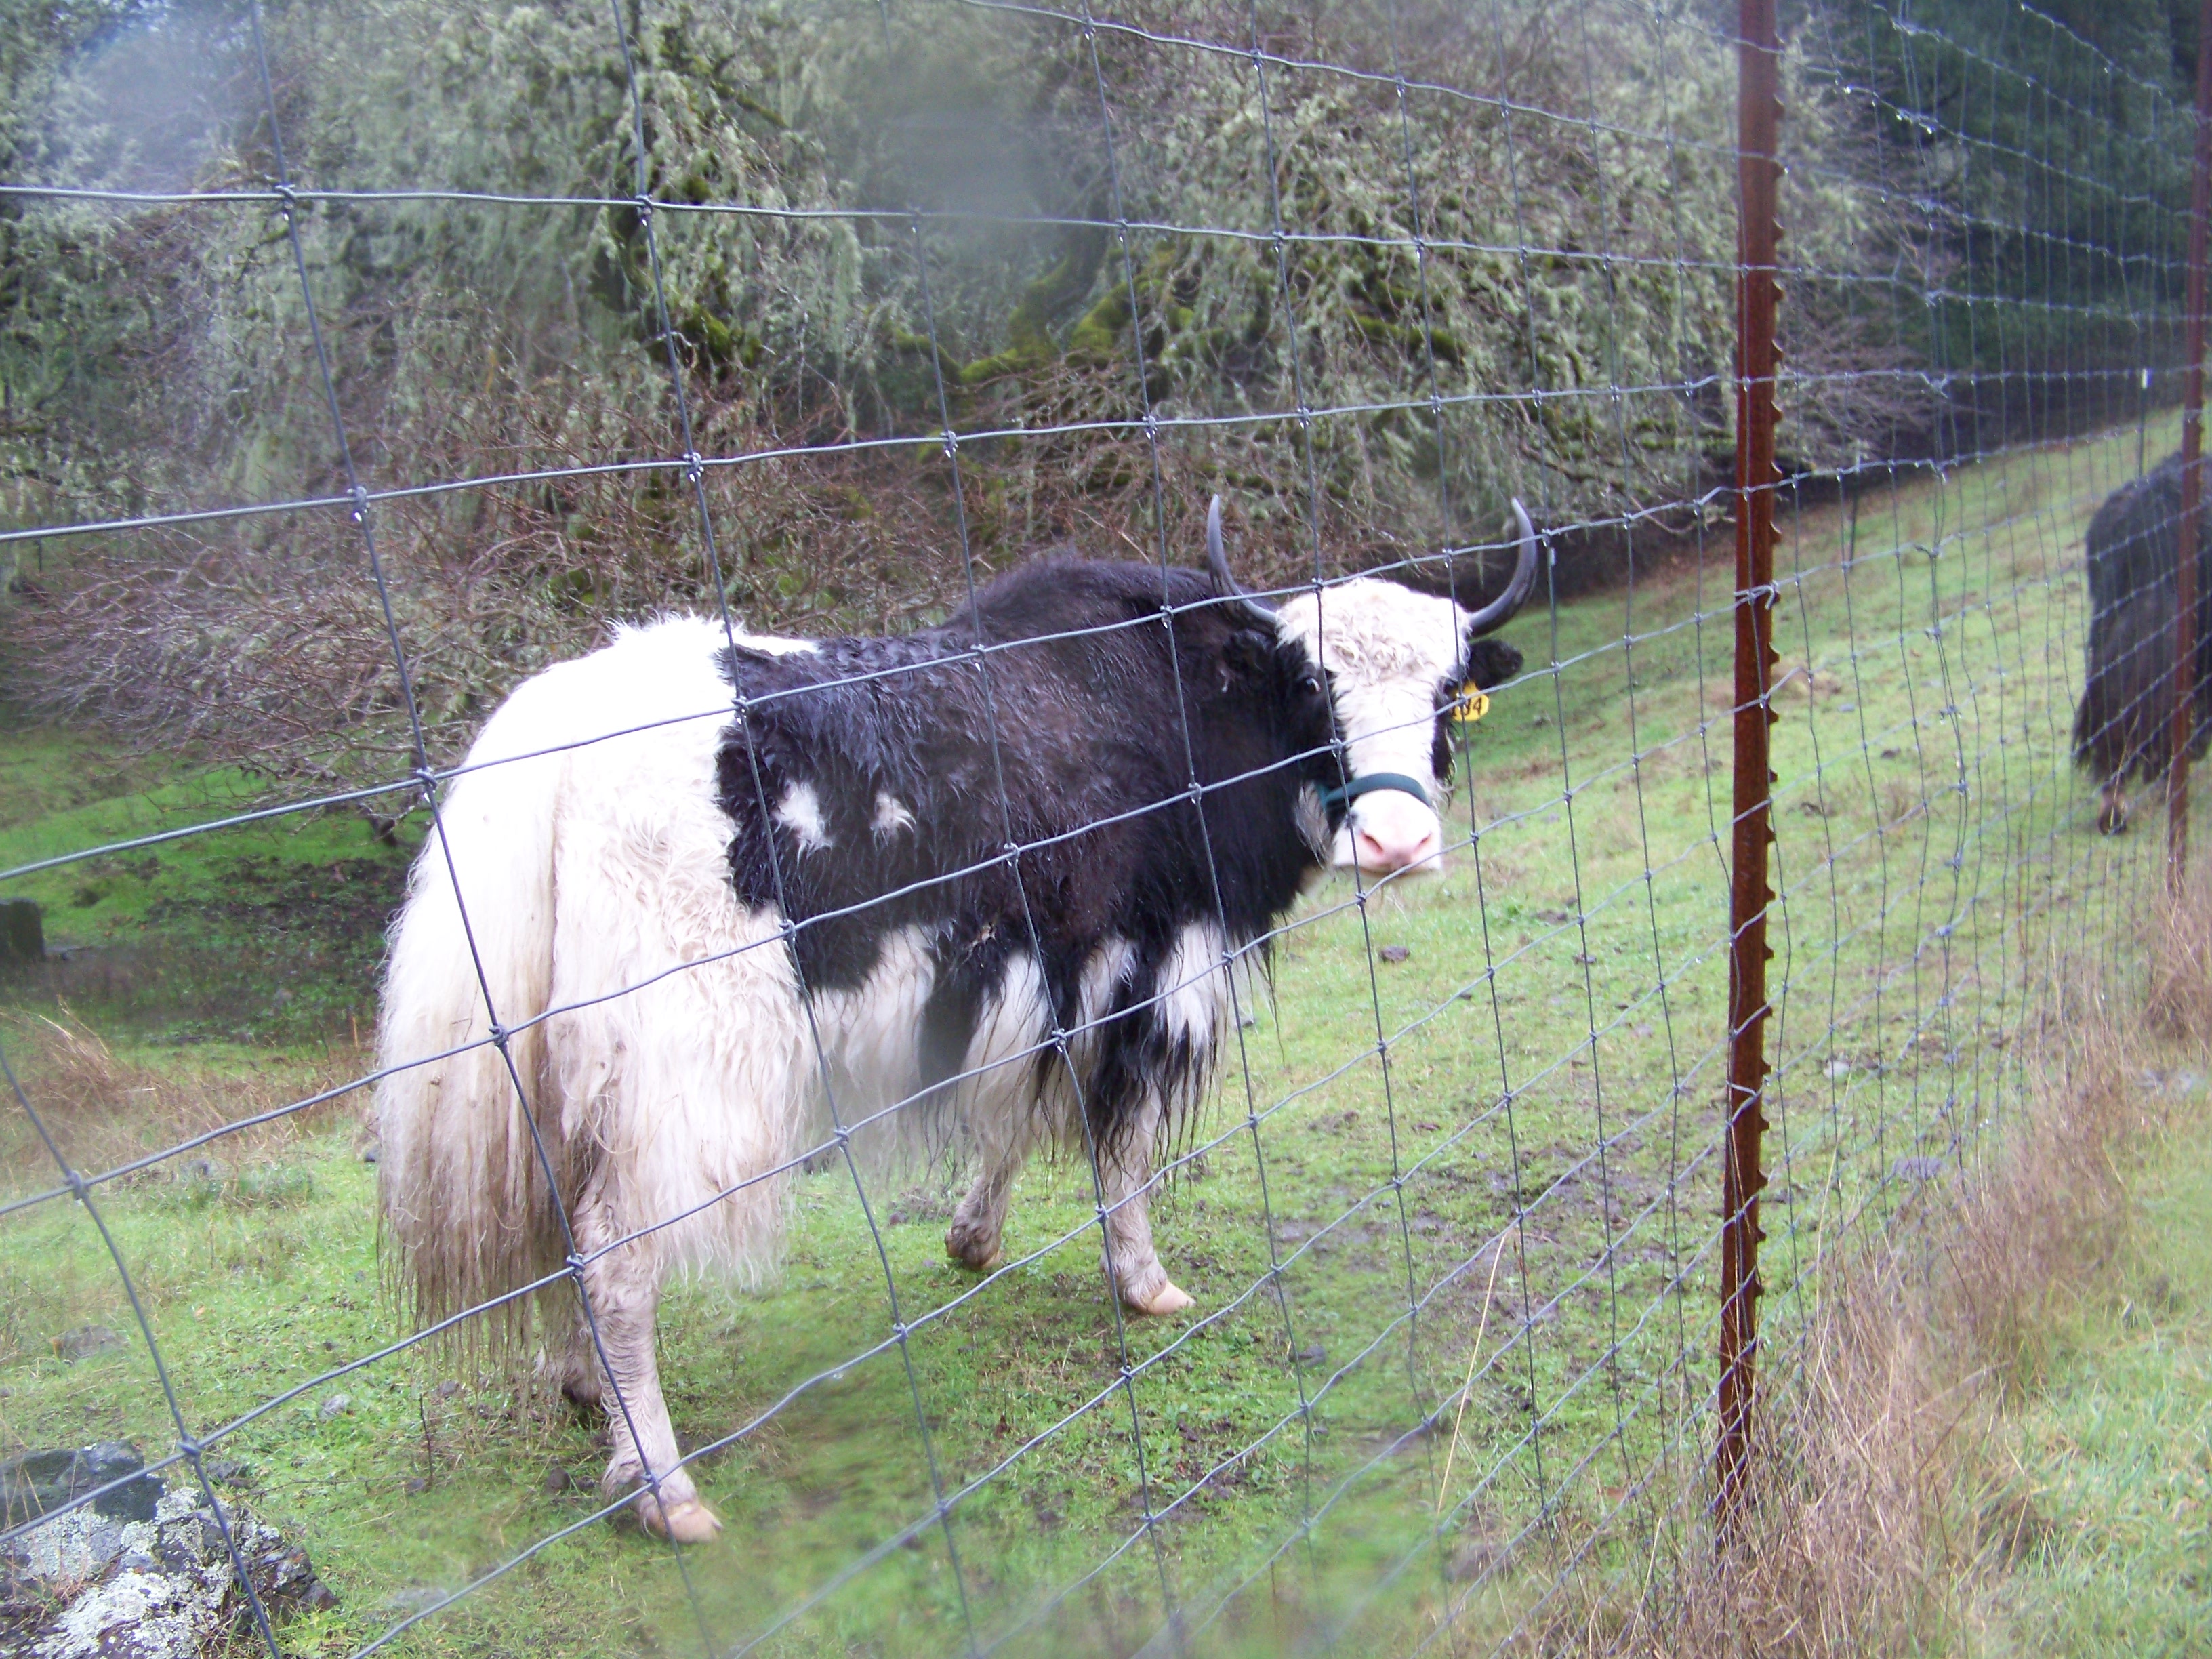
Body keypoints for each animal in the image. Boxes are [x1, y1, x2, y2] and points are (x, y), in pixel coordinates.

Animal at [375, 499, 1537, 1543]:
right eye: (1312, 686)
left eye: (1448, 692)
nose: (1395, 846)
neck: (1185, 707)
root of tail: (548, 753)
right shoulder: (1147, 970)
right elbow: (1121, 1145)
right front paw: (1148, 1287)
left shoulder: (1038, 983)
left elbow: (1012, 1119)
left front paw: (973, 1240)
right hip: (681, 1074)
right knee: (617, 1263)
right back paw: (664, 1490)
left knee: (567, 1229)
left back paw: (581, 1389)